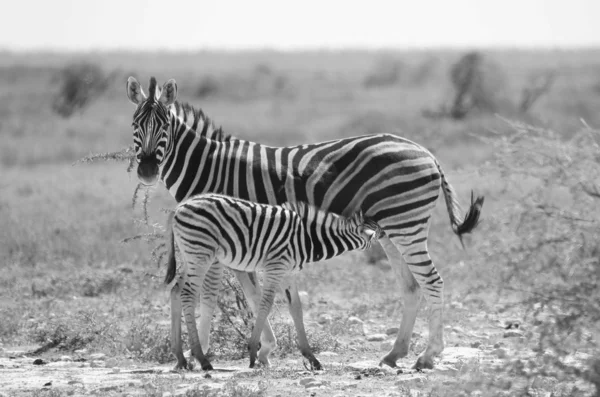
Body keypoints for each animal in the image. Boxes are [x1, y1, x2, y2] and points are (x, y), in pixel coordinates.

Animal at [164, 193, 380, 370]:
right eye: (375, 232)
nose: (385, 235)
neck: (308, 238)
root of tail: (180, 207)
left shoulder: (287, 273)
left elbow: (296, 309)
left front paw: (311, 358)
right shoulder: (276, 267)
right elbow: (266, 304)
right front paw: (253, 352)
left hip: (189, 256)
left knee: (176, 290)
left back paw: (180, 358)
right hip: (201, 254)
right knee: (188, 294)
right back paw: (202, 359)